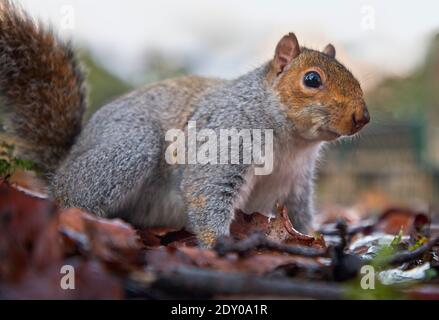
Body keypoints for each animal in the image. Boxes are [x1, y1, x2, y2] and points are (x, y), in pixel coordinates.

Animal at [0, 0, 370, 248]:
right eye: (312, 79)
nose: (362, 117)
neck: (292, 143)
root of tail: (67, 161)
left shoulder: (296, 183)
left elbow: (300, 215)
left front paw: (315, 240)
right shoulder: (226, 138)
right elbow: (206, 192)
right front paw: (219, 245)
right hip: (128, 149)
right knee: (73, 197)